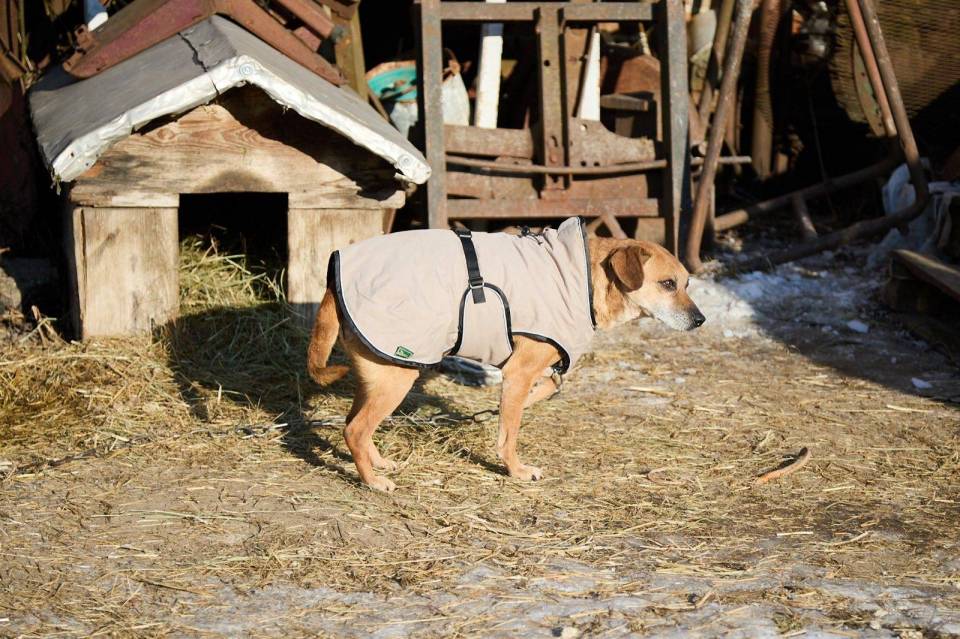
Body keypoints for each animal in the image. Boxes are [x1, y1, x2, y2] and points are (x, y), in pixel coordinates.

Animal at [307, 218, 704, 492]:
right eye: (667, 284)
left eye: (687, 284)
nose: (701, 320)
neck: (585, 278)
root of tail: (331, 281)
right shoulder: (518, 371)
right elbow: (509, 434)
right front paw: (516, 470)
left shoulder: (528, 369)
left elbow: (544, 389)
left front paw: (524, 404)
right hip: (398, 375)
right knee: (356, 429)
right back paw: (372, 482)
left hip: (380, 374)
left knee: (354, 424)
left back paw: (377, 464)